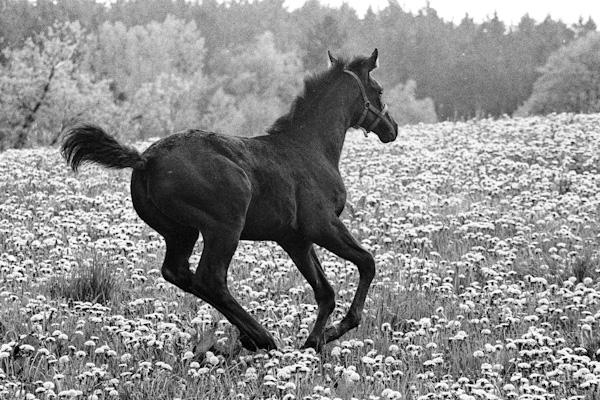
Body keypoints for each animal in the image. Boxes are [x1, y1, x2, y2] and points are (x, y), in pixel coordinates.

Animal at [61, 50, 398, 354]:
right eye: (379, 90)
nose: (392, 129)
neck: (310, 148)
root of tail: (146, 159)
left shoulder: (295, 239)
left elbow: (325, 292)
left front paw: (314, 340)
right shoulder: (323, 225)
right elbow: (367, 262)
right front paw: (337, 329)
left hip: (180, 232)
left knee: (179, 273)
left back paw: (249, 336)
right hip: (224, 227)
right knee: (210, 279)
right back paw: (261, 338)